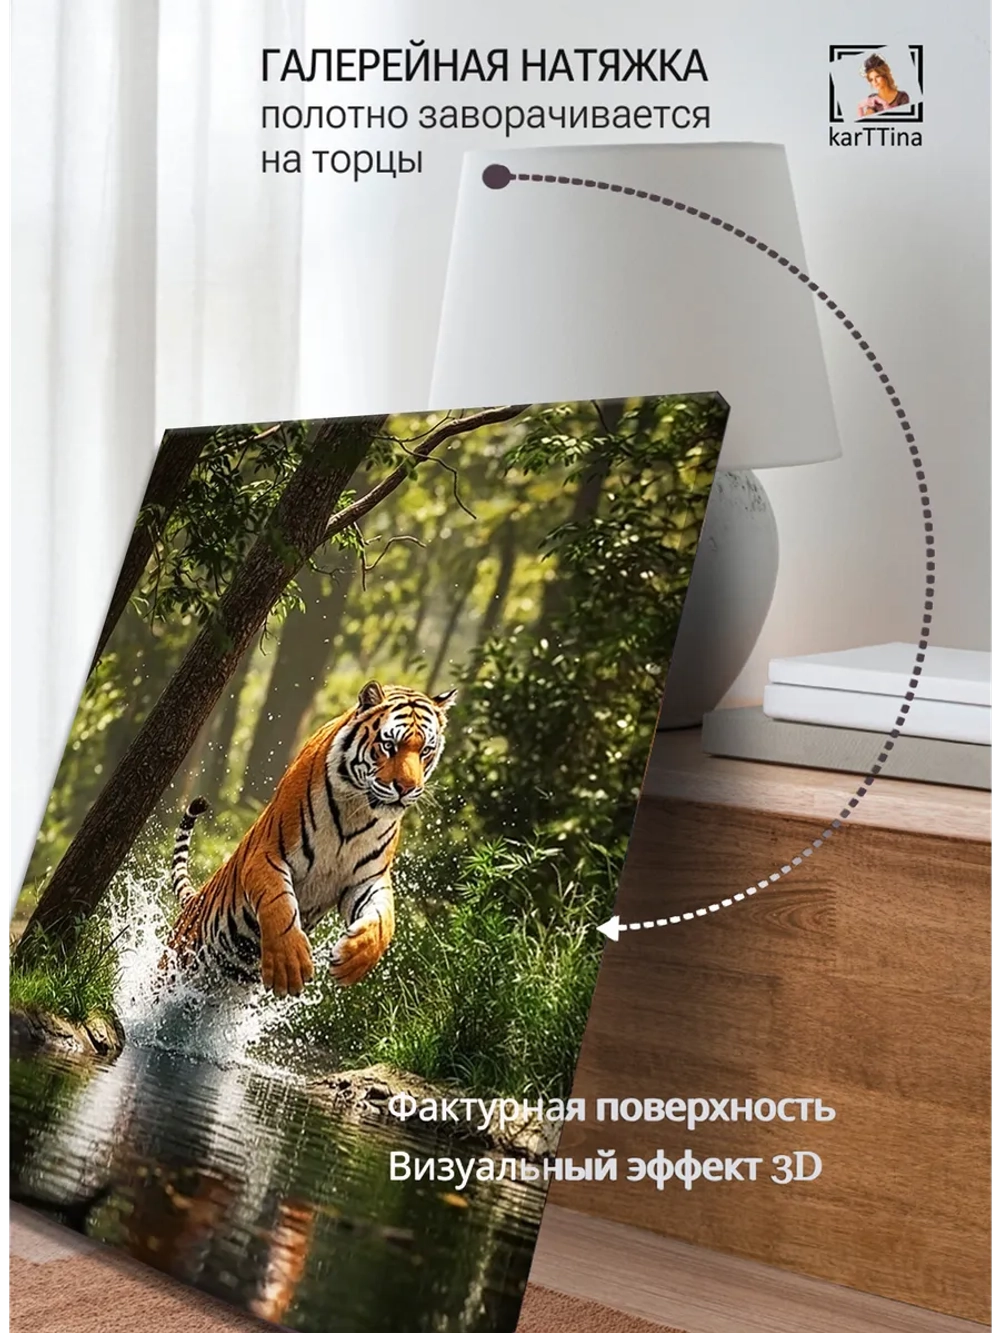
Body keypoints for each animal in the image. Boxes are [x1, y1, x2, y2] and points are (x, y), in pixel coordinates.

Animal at [164, 680, 456, 998]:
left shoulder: (368, 879)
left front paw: (354, 960)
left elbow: (384, 921)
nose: (406, 788)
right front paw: (288, 965)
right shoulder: (266, 855)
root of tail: (193, 902)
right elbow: (278, 903)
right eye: (389, 746)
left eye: (425, 751)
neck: (358, 808)